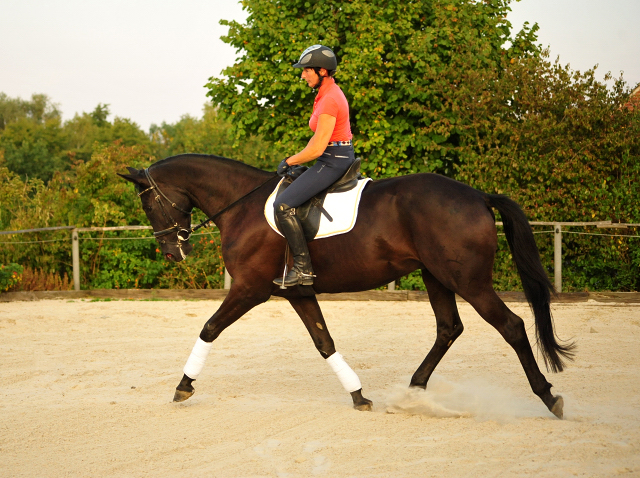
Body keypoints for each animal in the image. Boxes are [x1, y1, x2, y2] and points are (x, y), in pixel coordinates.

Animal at [120, 153, 576, 418]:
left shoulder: (249, 289)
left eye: (148, 201)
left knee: (511, 326)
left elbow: (209, 328)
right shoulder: (298, 292)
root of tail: (479, 196)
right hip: (437, 277)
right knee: (449, 328)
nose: (171, 252)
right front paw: (358, 396)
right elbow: (324, 342)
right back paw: (412, 392)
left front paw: (183, 386)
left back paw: (549, 397)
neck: (243, 206)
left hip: (467, 280)